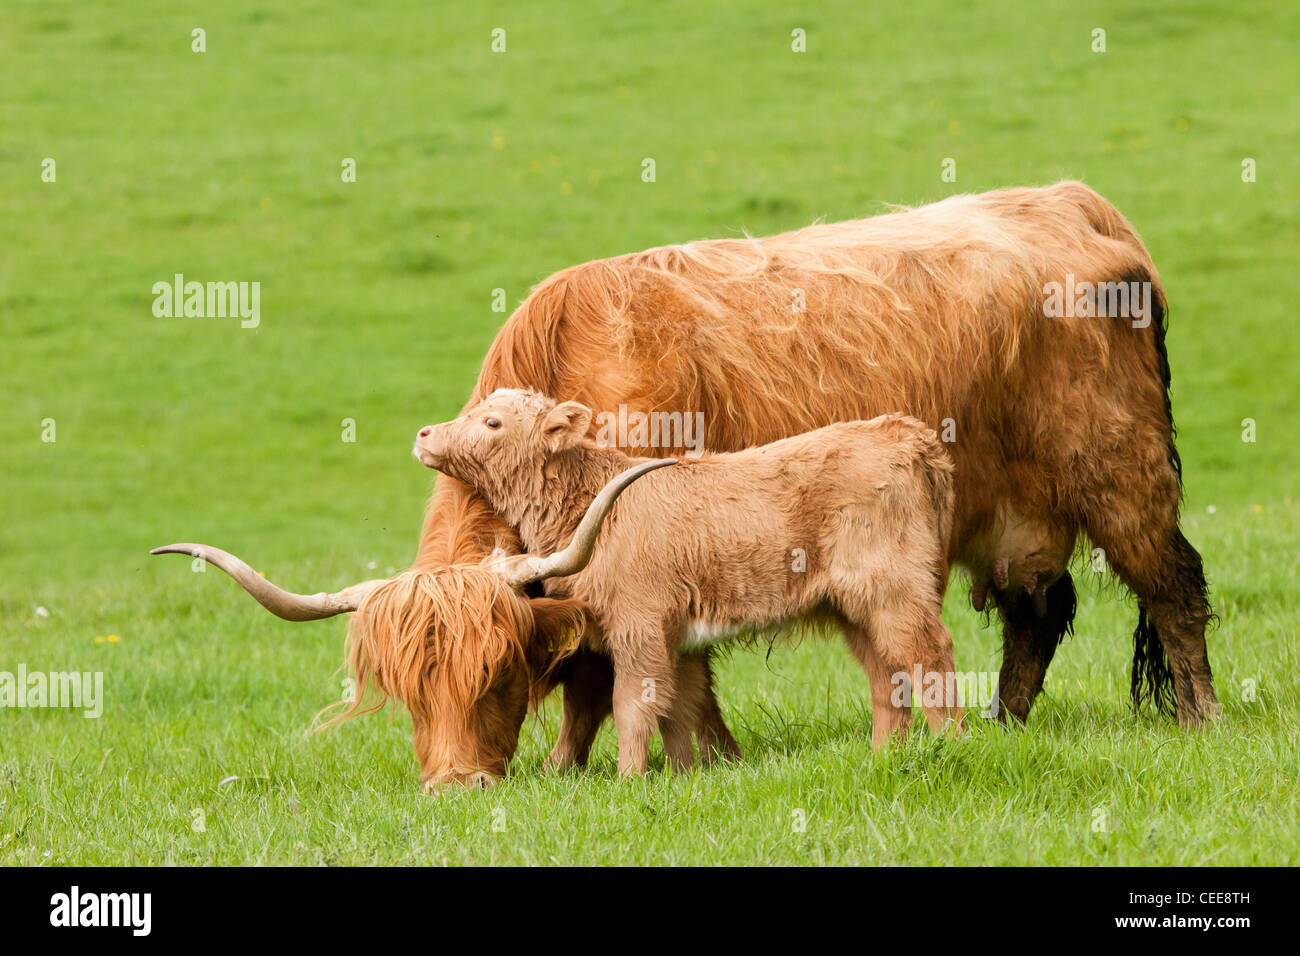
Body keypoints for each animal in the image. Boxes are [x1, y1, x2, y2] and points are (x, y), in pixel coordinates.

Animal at [418, 385, 967, 775]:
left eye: (492, 421)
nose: (424, 434)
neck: (591, 503)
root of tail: (906, 432)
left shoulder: (639, 628)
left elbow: (632, 704)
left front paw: (630, 780)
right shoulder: (677, 640)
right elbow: (680, 708)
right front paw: (683, 775)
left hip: (897, 591)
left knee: (929, 656)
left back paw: (953, 745)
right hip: (856, 608)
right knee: (886, 674)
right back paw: (884, 757)